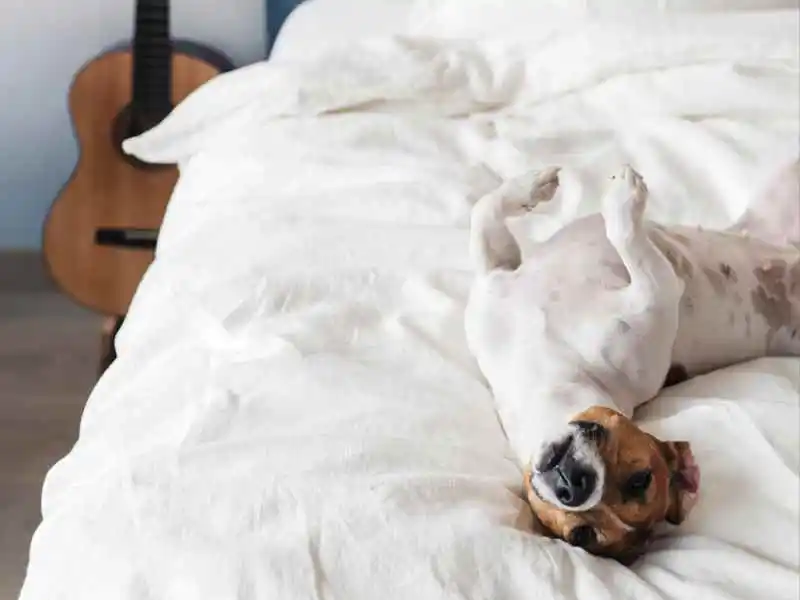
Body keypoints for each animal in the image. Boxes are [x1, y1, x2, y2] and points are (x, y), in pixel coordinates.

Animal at [462, 162, 800, 564]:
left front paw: (585, 191)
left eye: (639, 481)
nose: (574, 486)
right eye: (581, 535)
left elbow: (487, 209)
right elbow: (487, 211)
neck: (542, 376)